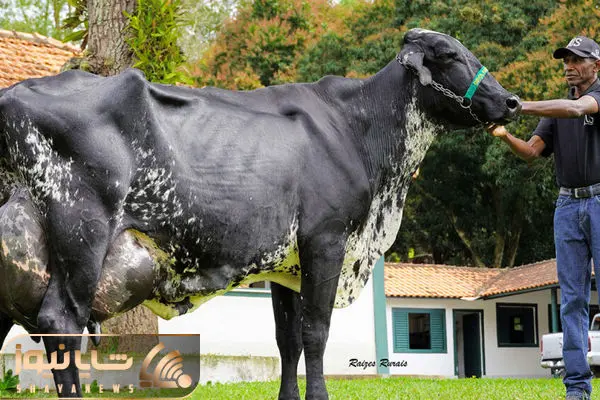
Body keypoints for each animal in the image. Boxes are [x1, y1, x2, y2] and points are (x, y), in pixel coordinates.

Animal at [0, 29, 520, 399]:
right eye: (449, 55)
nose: (512, 101)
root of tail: (11, 97)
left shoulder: (285, 264)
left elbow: (286, 339)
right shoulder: (326, 240)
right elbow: (315, 332)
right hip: (82, 232)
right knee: (61, 323)